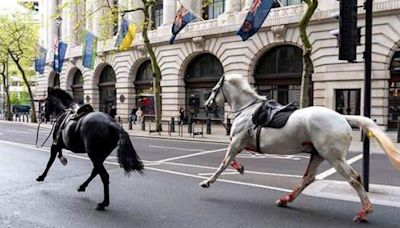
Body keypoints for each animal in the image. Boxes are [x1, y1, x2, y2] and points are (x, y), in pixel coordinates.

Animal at [200, 74, 400, 223]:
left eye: (213, 90)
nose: (206, 105)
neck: (248, 110)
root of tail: (343, 118)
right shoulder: (240, 143)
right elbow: (229, 160)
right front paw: (239, 167)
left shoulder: (236, 142)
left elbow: (223, 163)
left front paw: (208, 181)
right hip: (318, 154)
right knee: (308, 178)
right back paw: (285, 199)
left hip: (333, 156)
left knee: (354, 178)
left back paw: (364, 211)